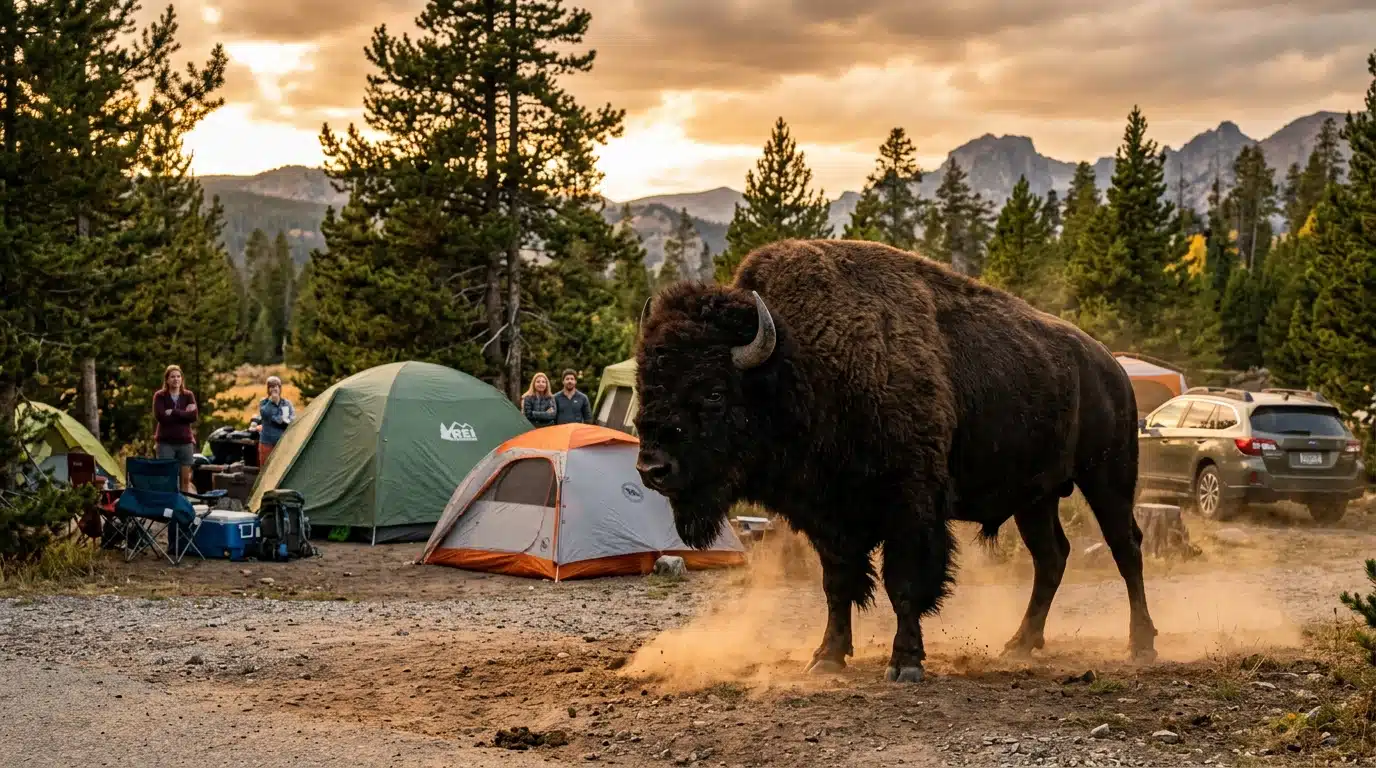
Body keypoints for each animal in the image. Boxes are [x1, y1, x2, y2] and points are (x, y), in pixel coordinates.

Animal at [633, 238, 1158, 683]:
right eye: (644, 384)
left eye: (714, 392)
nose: (652, 468)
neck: (800, 360)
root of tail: (1110, 366)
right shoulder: (829, 517)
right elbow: (837, 584)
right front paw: (826, 658)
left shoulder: (911, 507)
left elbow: (903, 584)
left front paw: (905, 663)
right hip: (1037, 497)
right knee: (1051, 557)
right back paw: (1020, 644)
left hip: (1107, 478)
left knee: (1126, 548)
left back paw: (1142, 645)